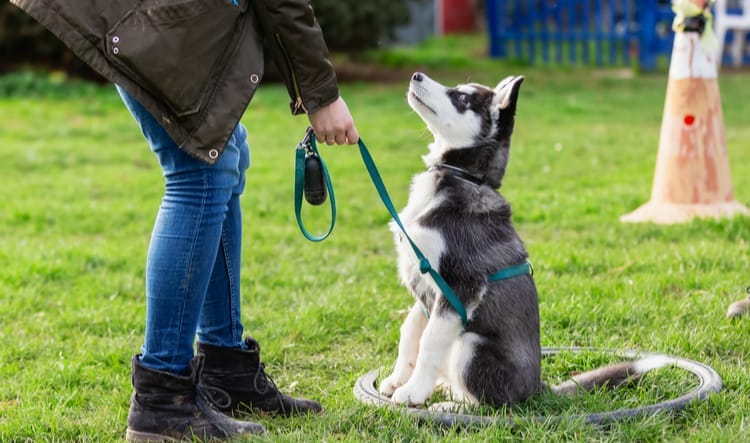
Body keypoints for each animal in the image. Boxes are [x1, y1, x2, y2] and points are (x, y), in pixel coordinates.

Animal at [378, 73, 668, 410]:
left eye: (461, 98)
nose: (416, 75)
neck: (462, 177)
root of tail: (536, 388)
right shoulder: (425, 285)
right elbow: (410, 330)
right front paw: (398, 378)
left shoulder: (461, 285)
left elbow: (430, 340)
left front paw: (413, 391)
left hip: (470, 345)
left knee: (492, 404)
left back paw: (451, 405)